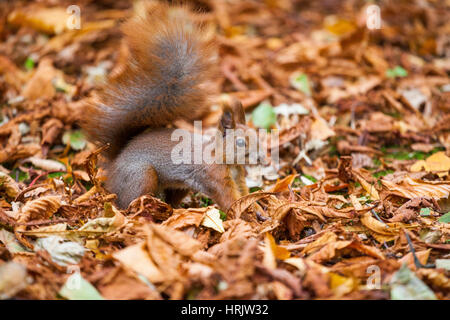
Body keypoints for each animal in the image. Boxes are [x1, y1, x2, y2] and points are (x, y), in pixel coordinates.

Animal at [81, 5, 260, 211]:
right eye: (240, 142)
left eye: (257, 136)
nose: (259, 157)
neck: (223, 159)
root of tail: (115, 164)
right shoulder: (214, 176)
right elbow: (229, 198)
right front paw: (245, 213)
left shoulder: (238, 177)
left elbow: (244, 193)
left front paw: (258, 208)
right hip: (142, 175)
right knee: (127, 201)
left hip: (178, 186)